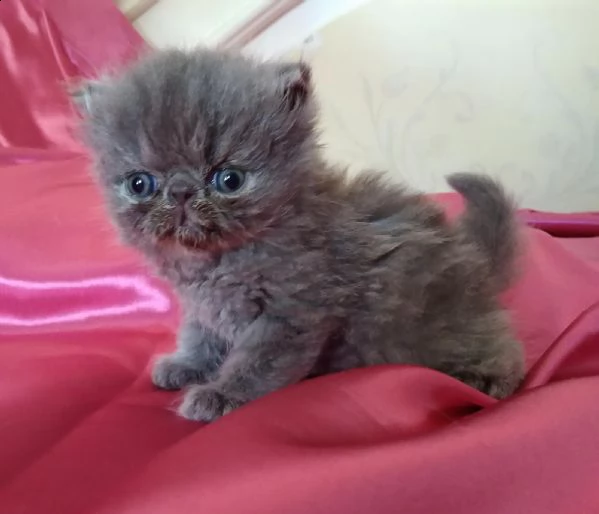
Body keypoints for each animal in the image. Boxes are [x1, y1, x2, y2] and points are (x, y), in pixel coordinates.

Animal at [72, 48, 524, 422]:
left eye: (229, 179)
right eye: (139, 184)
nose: (182, 190)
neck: (217, 264)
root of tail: (476, 260)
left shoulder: (292, 312)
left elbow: (256, 363)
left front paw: (220, 394)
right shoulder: (204, 309)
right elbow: (202, 337)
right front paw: (185, 365)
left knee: (503, 350)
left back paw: (487, 379)